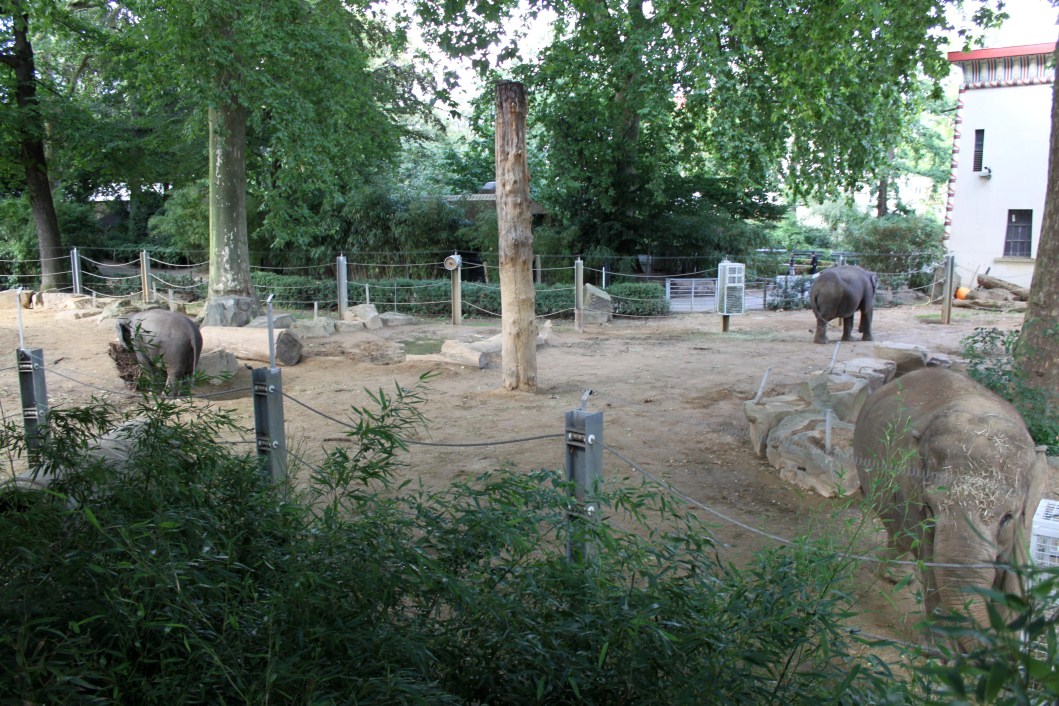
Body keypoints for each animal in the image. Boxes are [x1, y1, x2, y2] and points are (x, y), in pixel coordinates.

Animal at [853, 368, 1048, 645]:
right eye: (930, 508)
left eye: (1007, 518)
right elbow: (932, 569)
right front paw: (938, 650)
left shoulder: (1024, 523)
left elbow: (1013, 579)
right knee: (897, 530)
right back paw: (890, 576)